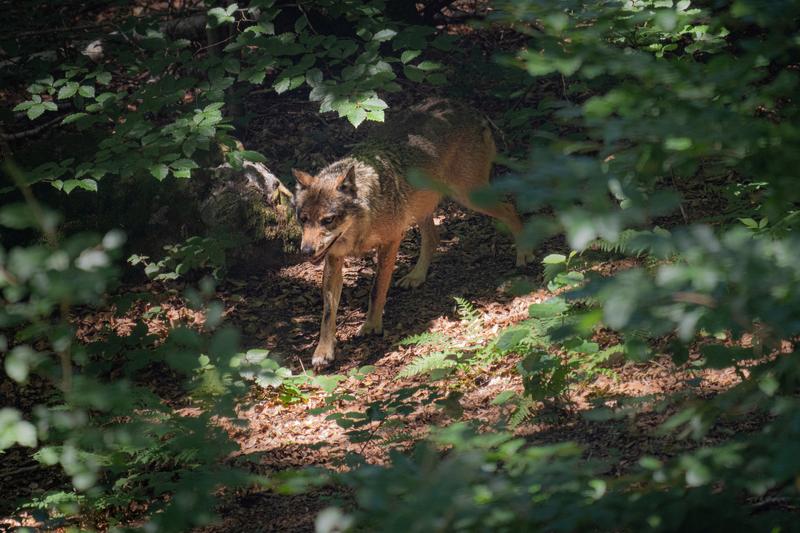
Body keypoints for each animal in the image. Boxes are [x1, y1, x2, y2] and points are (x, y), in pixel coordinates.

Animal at [292, 97, 532, 368]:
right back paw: (417, 276)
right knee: (434, 238)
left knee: (510, 207)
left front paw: (372, 325)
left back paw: (524, 253)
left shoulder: (391, 241)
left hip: (467, 196)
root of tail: (467, 107)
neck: (363, 220)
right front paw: (323, 352)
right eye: (303, 220)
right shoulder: (334, 258)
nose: (306, 251)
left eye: (328, 220)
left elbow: (377, 289)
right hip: (421, 206)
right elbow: (327, 312)